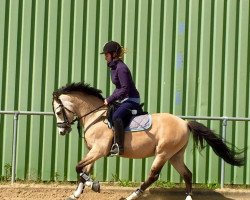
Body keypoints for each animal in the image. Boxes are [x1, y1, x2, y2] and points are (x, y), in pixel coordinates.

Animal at [51, 81, 245, 200]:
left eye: (59, 111)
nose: (61, 131)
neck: (96, 116)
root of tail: (184, 122)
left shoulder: (99, 150)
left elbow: (79, 168)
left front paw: (95, 185)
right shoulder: (93, 151)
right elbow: (83, 170)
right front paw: (76, 194)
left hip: (163, 153)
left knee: (153, 175)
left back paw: (132, 195)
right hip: (175, 155)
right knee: (187, 174)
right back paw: (188, 197)